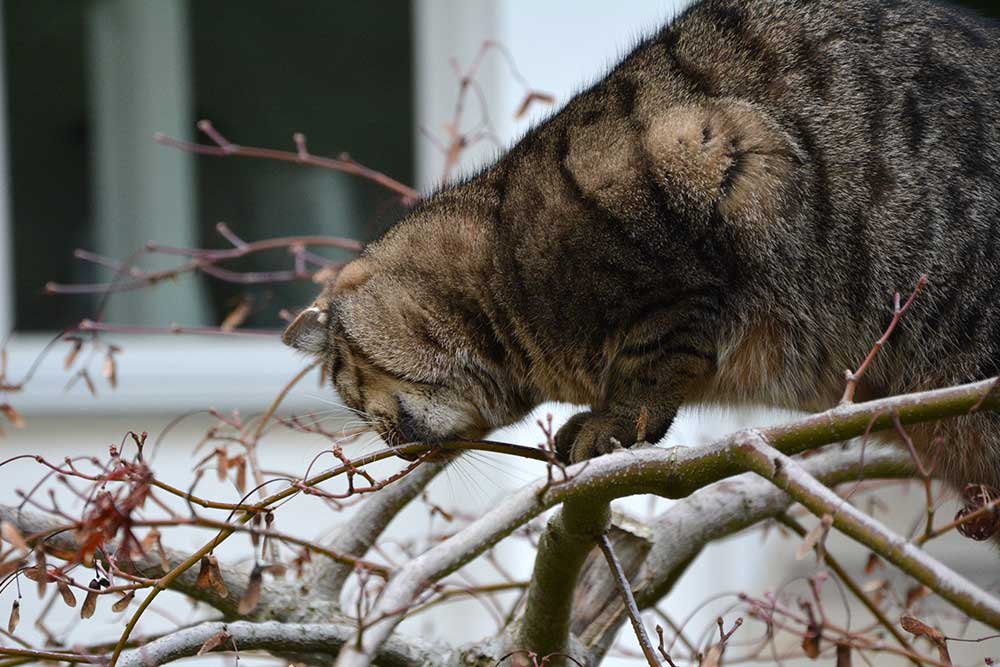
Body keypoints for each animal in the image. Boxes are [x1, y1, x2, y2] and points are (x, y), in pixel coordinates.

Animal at [282, 0, 1000, 490]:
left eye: (351, 391)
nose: (391, 444)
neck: (501, 258)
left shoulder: (714, 163)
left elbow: (655, 356)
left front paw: (613, 419)